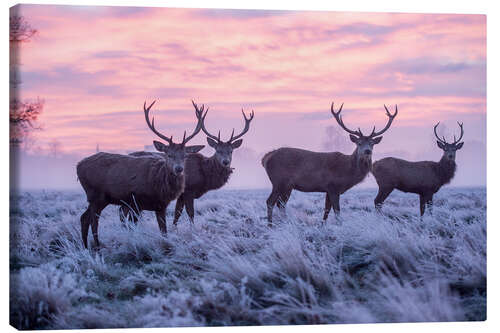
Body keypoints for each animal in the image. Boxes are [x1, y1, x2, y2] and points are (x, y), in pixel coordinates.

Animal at [75, 100, 203, 248]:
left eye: (185, 156)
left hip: (100, 198)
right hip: (95, 194)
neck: (159, 186)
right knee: (93, 220)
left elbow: (163, 231)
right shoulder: (136, 201)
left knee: (84, 217)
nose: (179, 169)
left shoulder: (160, 205)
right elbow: (138, 226)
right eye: (169, 154)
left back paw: (86, 246)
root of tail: (78, 166)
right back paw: (97, 245)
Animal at [119, 102, 256, 224]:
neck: (204, 174)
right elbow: (190, 213)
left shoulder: (181, 195)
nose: (226, 162)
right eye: (217, 150)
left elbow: (177, 214)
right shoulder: (188, 190)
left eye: (231, 151)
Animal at [262, 102, 398, 224]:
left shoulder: (327, 189)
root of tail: (266, 158)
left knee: (280, 204)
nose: (367, 151)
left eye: (372, 143)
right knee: (270, 202)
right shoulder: (333, 187)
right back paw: (270, 225)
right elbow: (337, 211)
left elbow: (326, 211)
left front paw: (323, 226)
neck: (347, 173)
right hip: (279, 181)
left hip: (287, 185)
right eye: (359, 143)